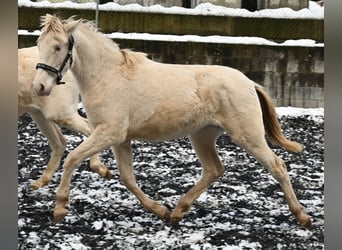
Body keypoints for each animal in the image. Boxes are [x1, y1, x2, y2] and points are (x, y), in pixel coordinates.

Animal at [18, 46, 111, 188]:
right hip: (39, 113)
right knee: (60, 142)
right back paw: (41, 181)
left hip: (59, 113)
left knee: (87, 130)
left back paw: (101, 169)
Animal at [32, 14, 312, 229]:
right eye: (39, 44)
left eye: (58, 47)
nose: (39, 87)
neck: (108, 76)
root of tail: (249, 82)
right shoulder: (120, 138)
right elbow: (127, 178)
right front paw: (160, 210)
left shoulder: (109, 133)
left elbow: (72, 158)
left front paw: (59, 208)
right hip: (202, 135)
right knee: (214, 169)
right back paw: (178, 211)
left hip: (247, 135)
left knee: (278, 165)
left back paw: (302, 216)